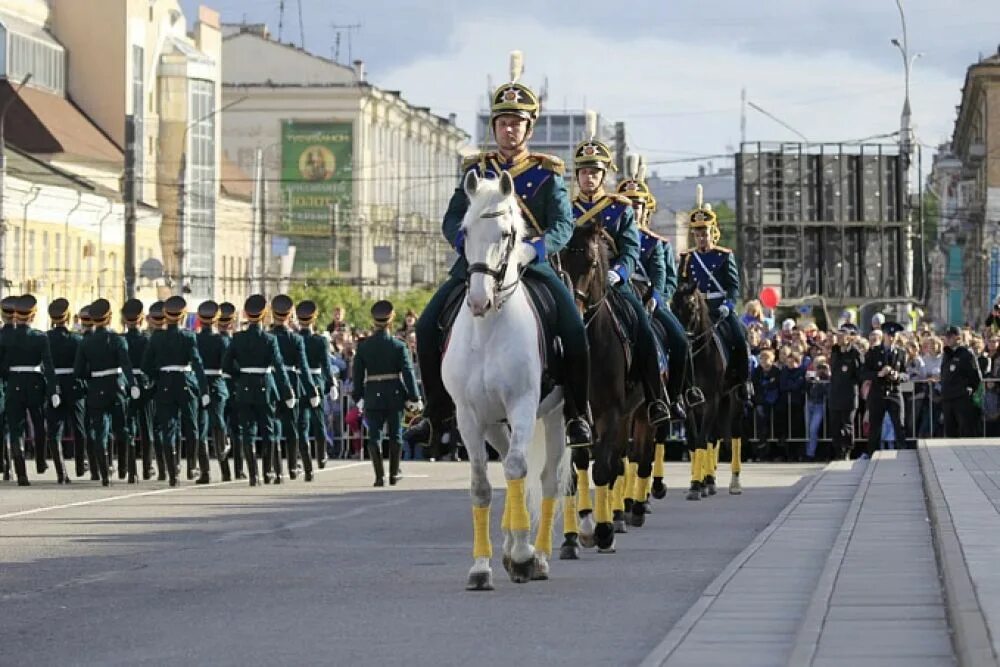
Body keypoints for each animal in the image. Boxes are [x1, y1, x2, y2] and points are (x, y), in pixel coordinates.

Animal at [446, 170, 572, 592]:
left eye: (506, 234)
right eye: (464, 230)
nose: (478, 300)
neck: (488, 330)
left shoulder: (523, 404)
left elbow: (519, 469)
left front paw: (522, 556)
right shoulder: (469, 416)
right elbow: (482, 485)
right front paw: (481, 566)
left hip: (556, 415)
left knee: (548, 480)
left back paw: (541, 555)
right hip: (494, 422)